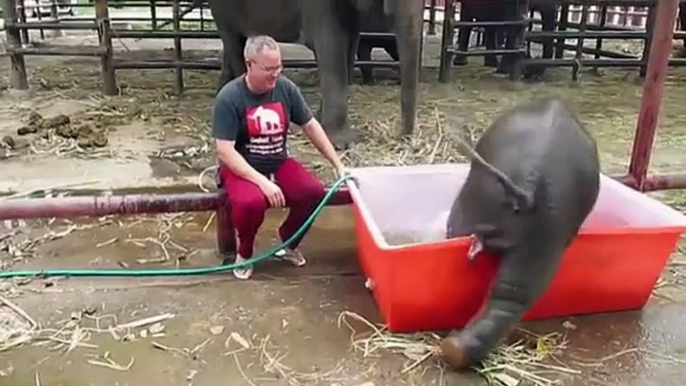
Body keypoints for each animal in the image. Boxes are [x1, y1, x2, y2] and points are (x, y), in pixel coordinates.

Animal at [204, 0, 424, 148]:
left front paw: (318, 120)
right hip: (222, 9)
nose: (403, 138)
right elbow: (331, 43)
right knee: (233, 40)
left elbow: (349, 43)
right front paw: (342, 143)